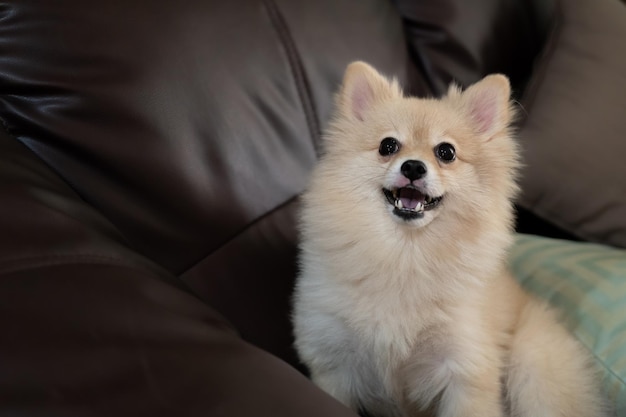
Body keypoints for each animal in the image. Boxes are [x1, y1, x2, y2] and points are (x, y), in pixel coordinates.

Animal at [290, 61, 608, 416]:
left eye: (446, 152)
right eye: (388, 146)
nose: (413, 167)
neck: (406, 254)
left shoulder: (464, 369)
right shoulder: (334, 362)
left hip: (534, 373)